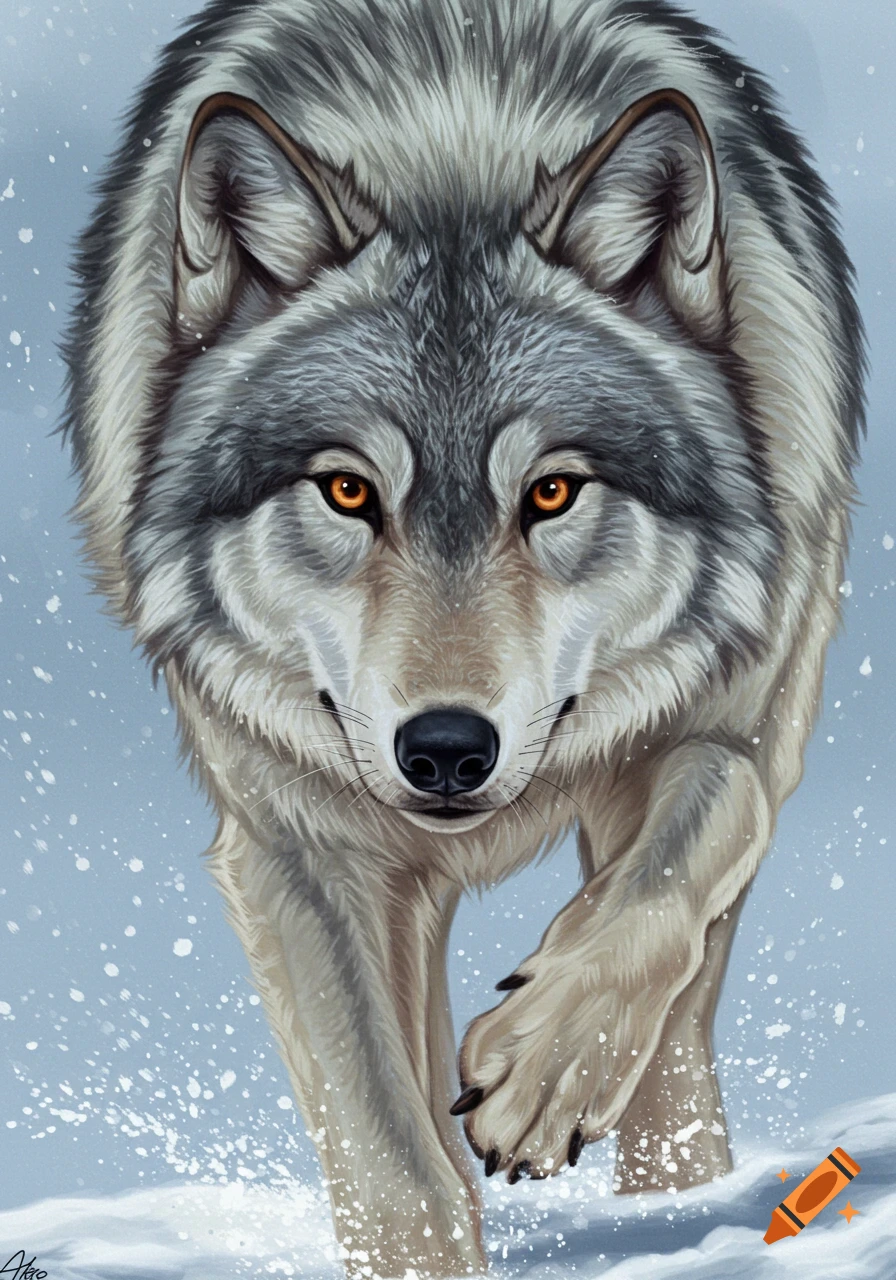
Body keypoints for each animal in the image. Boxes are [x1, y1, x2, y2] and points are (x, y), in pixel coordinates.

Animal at [61, 0, 864, 1273]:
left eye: (550, 492)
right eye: (346, 490)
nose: (444, 748)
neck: (450, 157)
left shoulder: (739, 702)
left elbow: (704, 824)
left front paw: (547, 1061)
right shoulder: (296, 844)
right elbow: (400, 1171)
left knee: (677, 1048)